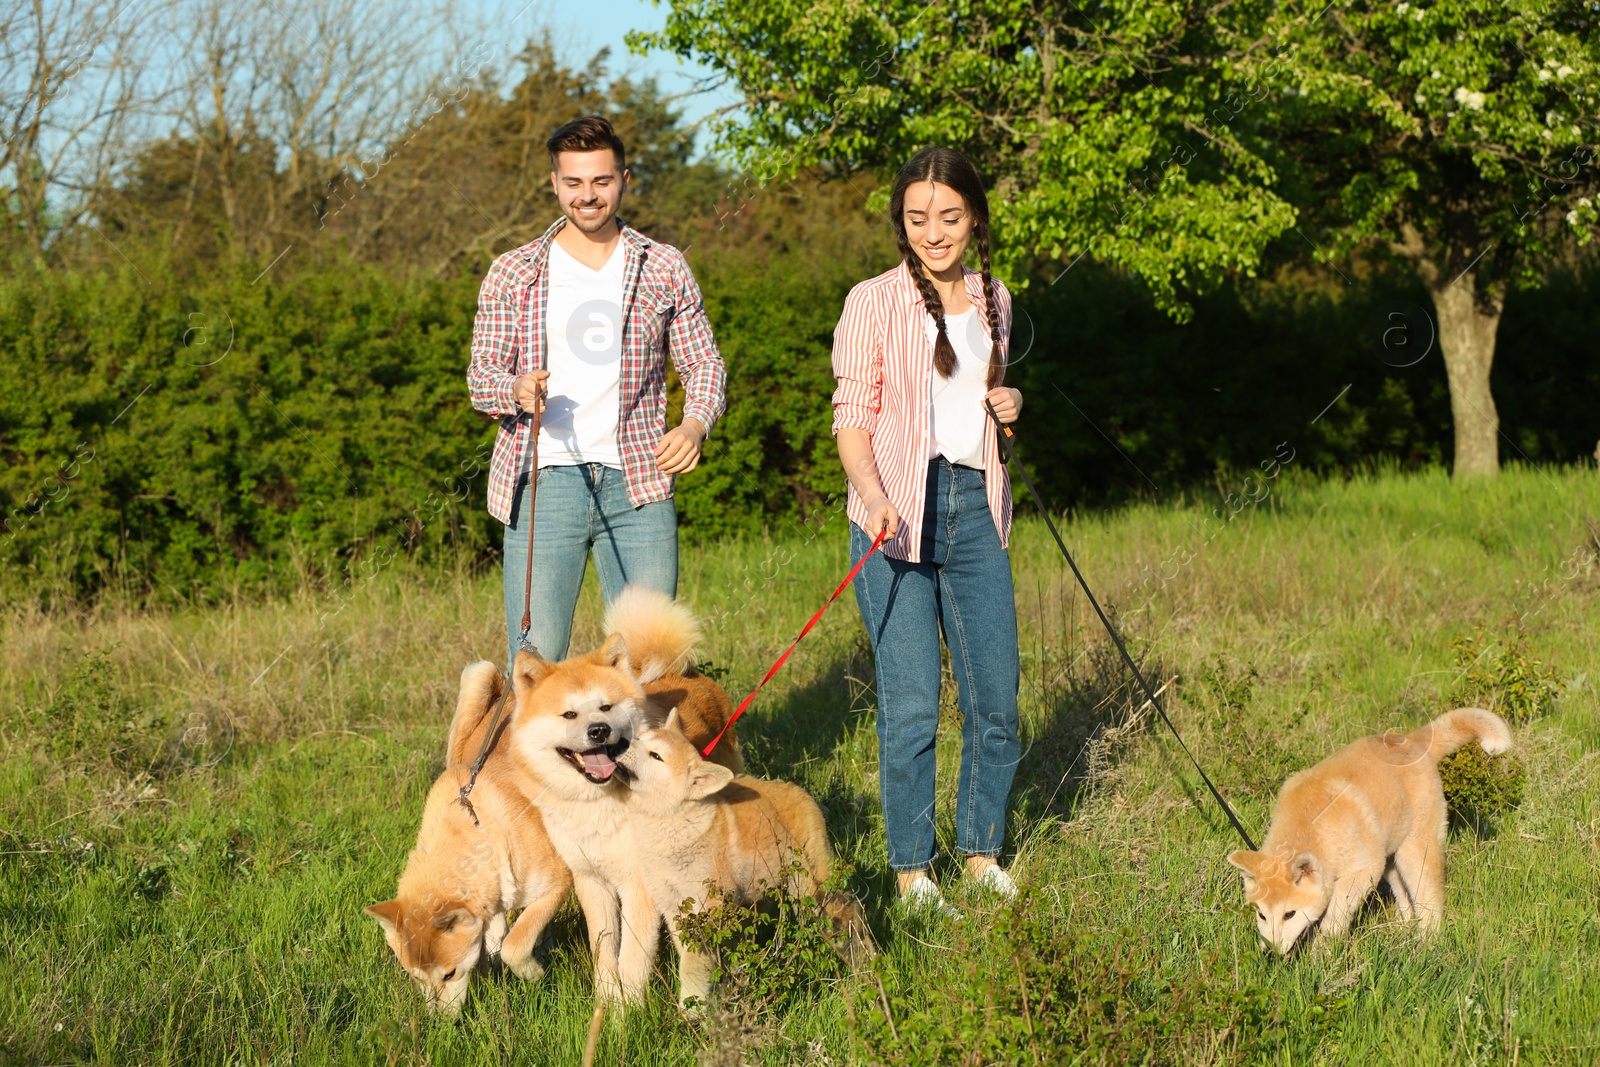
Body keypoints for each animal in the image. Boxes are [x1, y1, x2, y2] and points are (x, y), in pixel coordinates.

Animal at [368, 659, 576, 1017]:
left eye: (449, 974)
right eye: (416, 977)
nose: (437, 1021)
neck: (479, 828)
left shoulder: (558, 882)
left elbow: (514, 944)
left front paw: (532, 972)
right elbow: (495, 941)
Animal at [505, 588, 742, 1004]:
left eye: (605, 707)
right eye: (569, 714)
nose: (599, 730)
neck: (601, 805)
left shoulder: (639, 886)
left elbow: (632, 958)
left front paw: (626, 1013)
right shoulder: (591, 880)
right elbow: (604, 951)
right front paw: (606, 1001)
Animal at [611, 713, 870, 1004]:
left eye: (656, 756)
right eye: (639, 738)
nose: (617, 744)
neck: (673, 823)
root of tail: (800, 791)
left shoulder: (707, 911)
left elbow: (692, 966)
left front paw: (692, 1006)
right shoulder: (673, 909)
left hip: (809, 887)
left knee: (848, 910)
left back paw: (863, 962)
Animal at [1222, 710, 1510, 953]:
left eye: (1289, 914)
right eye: (1261, 914)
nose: (1270, 952)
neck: (1311, 827)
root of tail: (1411, 740)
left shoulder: (1365, 868)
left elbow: (1336, 910)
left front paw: (1322, 951)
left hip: (1416, 849)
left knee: (1429, 897)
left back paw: (1427, 942)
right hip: (1392, 857)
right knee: (1404, 897)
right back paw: (1400, 930)